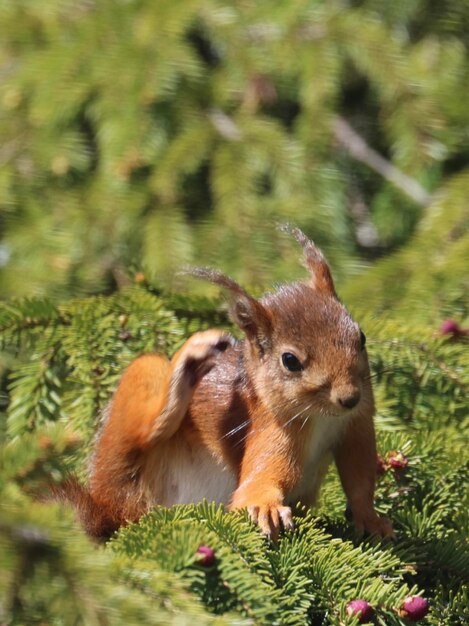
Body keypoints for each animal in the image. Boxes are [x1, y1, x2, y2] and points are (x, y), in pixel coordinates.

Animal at [61, 227, 392, 540]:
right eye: (290, 360)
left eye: (361, 337)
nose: (350, 398)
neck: (323, 418)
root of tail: (105, 504)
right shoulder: (271, 427)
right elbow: (257, 482)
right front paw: (264, 506)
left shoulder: (357, 426)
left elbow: (360, 478)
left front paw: (371, 520)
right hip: (137, 401)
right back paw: (185, 372)